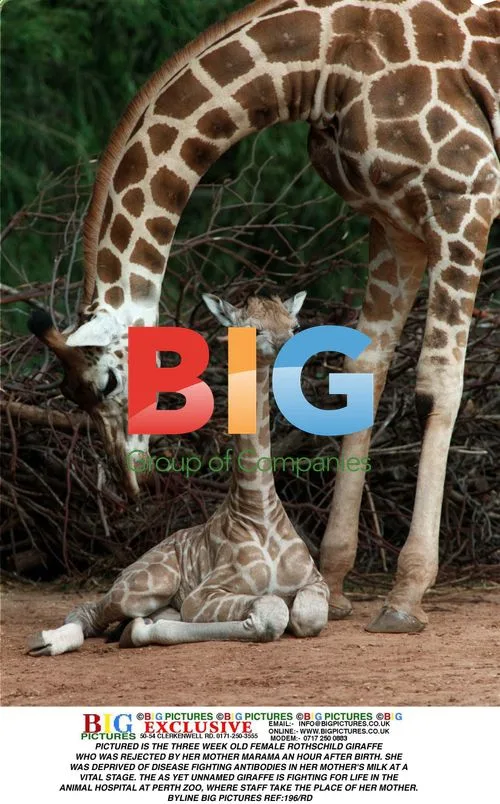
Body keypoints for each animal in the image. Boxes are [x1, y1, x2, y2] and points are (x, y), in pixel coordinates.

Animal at [27, 293, 330, 656]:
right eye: (253, 329)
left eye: (294, 324)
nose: (290, 347)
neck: (262, 513)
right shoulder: (204, 595)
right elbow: (272, 610)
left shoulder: (315, 582)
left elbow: (307, 615)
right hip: (146, 584)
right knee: (88, 610)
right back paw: (49, 641)